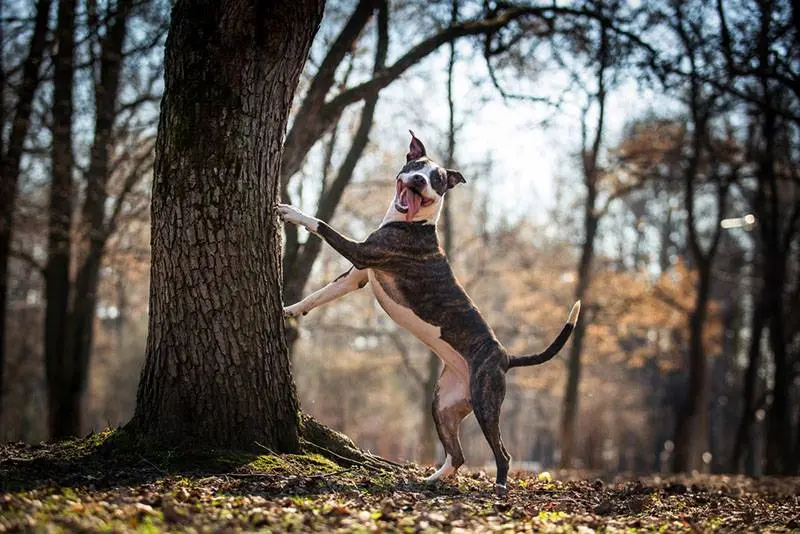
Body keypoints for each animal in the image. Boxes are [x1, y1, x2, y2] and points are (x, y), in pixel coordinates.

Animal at [278, 131, 580, 498]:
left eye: (436, 179)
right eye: (417, 166)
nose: (420, 180)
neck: (412, 222)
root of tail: (507, 356)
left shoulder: (362, 253)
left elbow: (321, 225)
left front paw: (290, 211)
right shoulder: (356, 277)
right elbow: (317, 295)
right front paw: (288, 310)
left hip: (486, 403)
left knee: (502, 453)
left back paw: (499, 487)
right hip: (443, 406)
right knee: (458, 455)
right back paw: (430, 480)